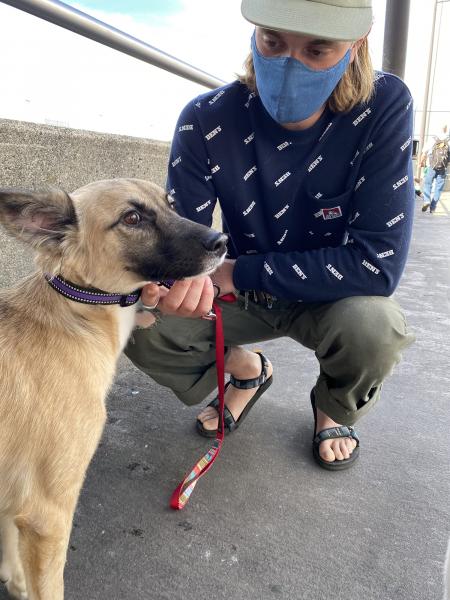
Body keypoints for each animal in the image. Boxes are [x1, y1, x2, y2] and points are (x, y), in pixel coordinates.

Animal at [0, 179, 225, 600]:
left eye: (171, 203)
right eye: (132, 218)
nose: (222, 240)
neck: (78, 312)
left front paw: (15, 580)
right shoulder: (46, 513)